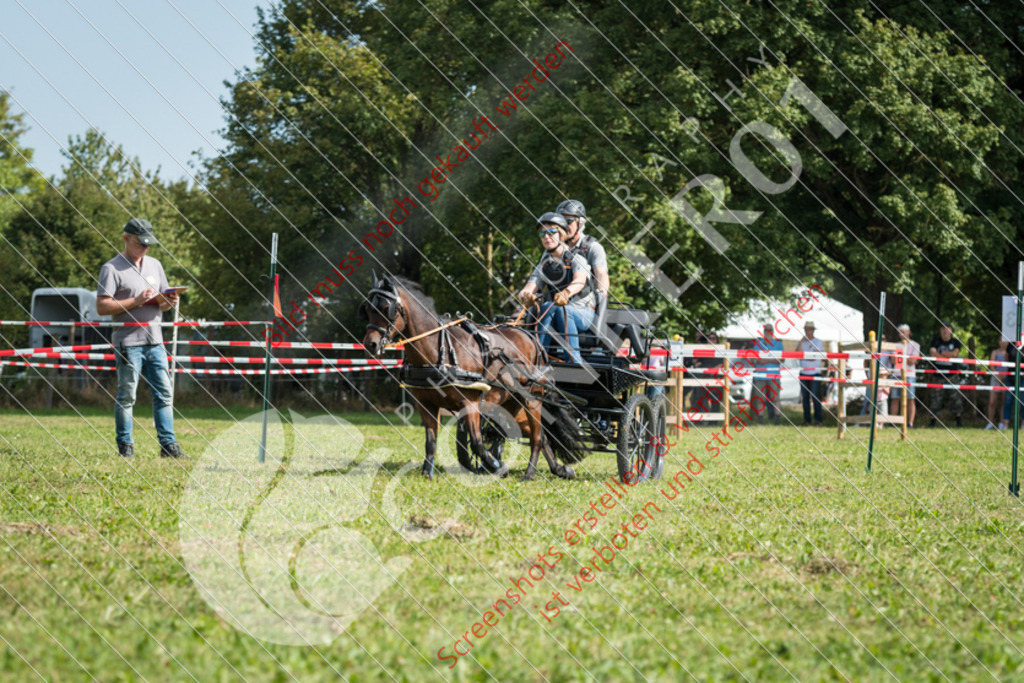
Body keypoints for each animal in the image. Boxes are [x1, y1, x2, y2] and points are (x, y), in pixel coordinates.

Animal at [360, 272, 585, 481]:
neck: (440, 351)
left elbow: (477, 442)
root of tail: (531, 337)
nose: (370, 344)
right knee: (541, 436)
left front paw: (499, 467)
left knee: (537, 436)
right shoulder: (426, 404)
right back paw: (560, 470)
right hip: (512, 404)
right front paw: (426, 475)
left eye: (386, 308)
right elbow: (430, 442)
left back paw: (529, 473)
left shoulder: (471, 404)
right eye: (367, 310)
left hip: (532, 399)